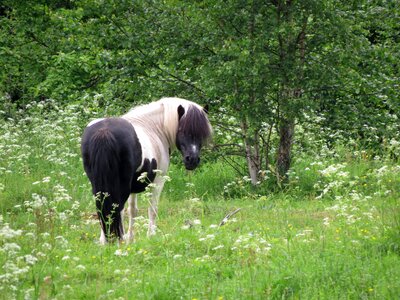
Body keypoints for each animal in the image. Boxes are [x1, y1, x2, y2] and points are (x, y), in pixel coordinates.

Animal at [81, 98, 212, 244]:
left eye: (202, 134)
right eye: (182, 131)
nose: (192, 160)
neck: (155, 128)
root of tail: (104, 132)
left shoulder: (134, 186)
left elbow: (133, 210)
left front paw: (131, 239)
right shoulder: (157, 181)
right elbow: (152, 209)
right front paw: (151, 236)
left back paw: (106, 241)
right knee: (117, 208)